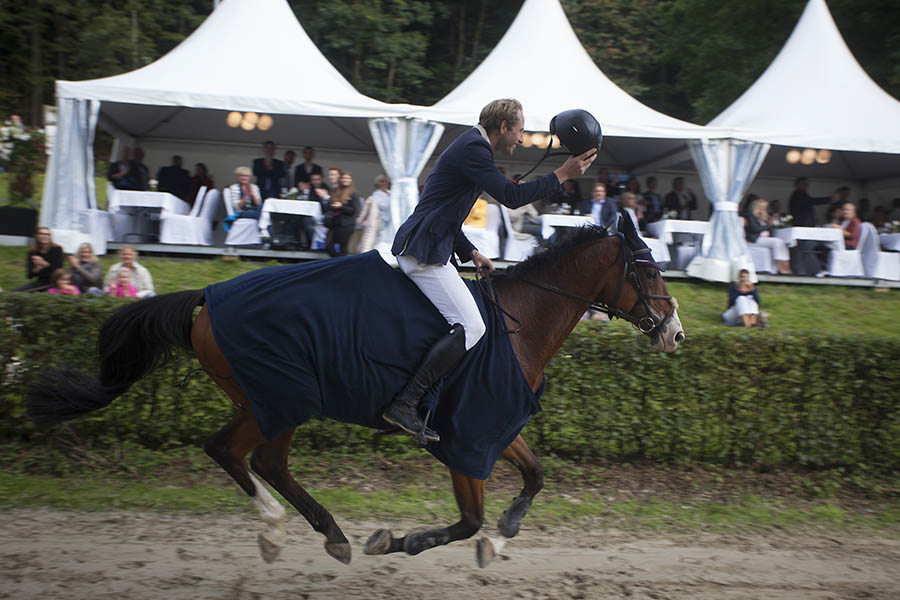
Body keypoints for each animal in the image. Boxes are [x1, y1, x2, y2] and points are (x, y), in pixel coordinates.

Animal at [28, 220, 684, 568]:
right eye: (650, 270)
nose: (675, 333)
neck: (518, 323)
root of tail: (208, 296)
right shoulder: (467, 435)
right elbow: (468, 518)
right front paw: (402, 540)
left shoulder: (497, 428)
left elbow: (536, 476)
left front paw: (501, 537)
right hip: (280, 397)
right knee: (240, 454)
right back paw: (286, 531)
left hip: (261, 399)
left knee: (251, 457)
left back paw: (325, 533)